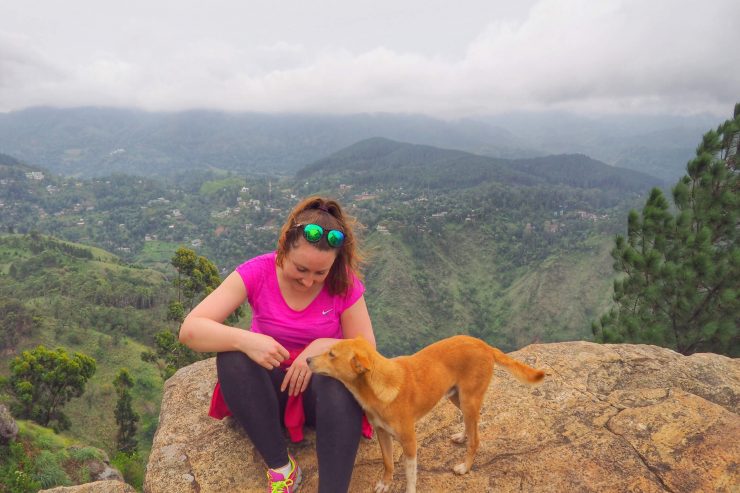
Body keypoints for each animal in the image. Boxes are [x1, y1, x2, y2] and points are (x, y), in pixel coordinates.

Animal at [306, 334, 544, 492]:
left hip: (468, 399)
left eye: (331, 354)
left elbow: (411, 474)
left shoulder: (410, 441)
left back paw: (465, 467)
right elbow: (388, 462)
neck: (380, 386)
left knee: (476, 438)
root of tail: (483, 344)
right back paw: (462, 436)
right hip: (456, 396)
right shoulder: (382, 433)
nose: (307, 359)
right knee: (473, 424)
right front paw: (385, 483)